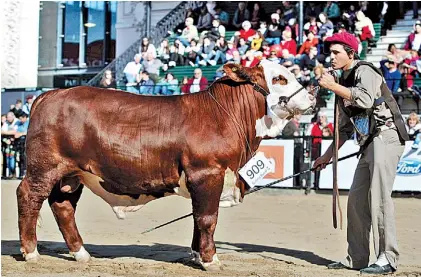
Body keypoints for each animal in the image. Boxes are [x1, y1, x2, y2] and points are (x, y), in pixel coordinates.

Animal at [16, 61, 314, 268]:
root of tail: (49, 95)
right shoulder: (207, 173)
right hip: (44, 168)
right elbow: (207, 218)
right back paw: (31, 252)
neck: (224, 114)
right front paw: (210, 260)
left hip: (72, 175)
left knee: (63, 207)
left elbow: (197, 217)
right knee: (28, 196)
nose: (312, 95)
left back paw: (81, 254)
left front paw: (197, 255)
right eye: (279, 78)